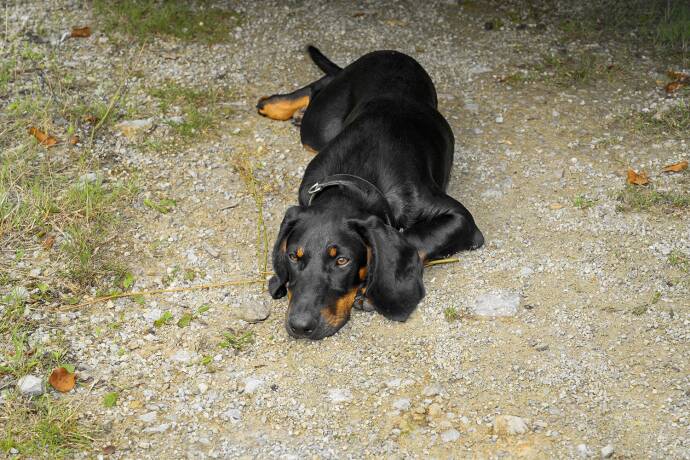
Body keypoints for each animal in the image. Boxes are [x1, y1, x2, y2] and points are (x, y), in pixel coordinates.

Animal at [255, 46, 482, 340]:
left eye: (342, 260)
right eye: (294, 256)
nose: (300, 327)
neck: (357, 176)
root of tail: (387, 52)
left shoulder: (461, 219)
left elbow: (414, 237)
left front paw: (374, 290)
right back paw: (277, 104)